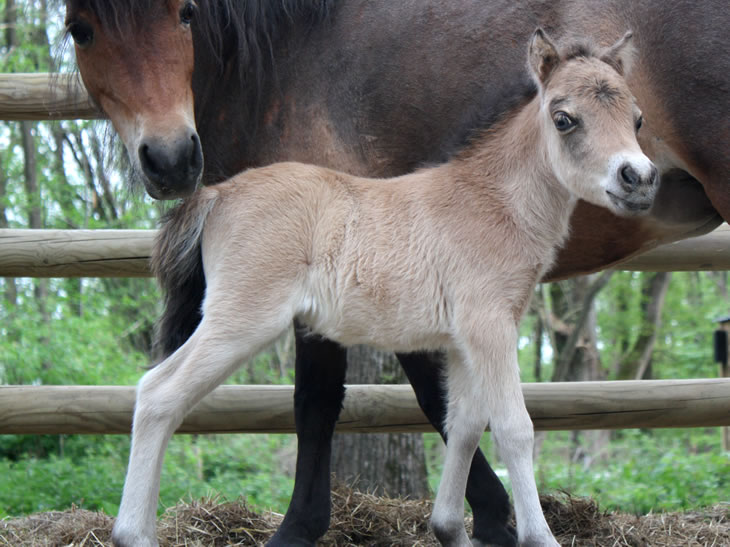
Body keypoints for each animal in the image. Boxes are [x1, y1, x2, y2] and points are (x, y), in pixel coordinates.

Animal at [65, 2, 724, 544]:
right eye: (565, 119)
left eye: (637, 119)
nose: (638, 179)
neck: (490, 200)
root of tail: (217, 194)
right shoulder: (489, 324)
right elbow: (513, 426)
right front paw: (537, 536)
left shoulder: (462, 339)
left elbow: (463, 423)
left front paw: (452, 528)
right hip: (242, 318)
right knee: (160, 394)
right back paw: (133, 533)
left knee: (153, 388)